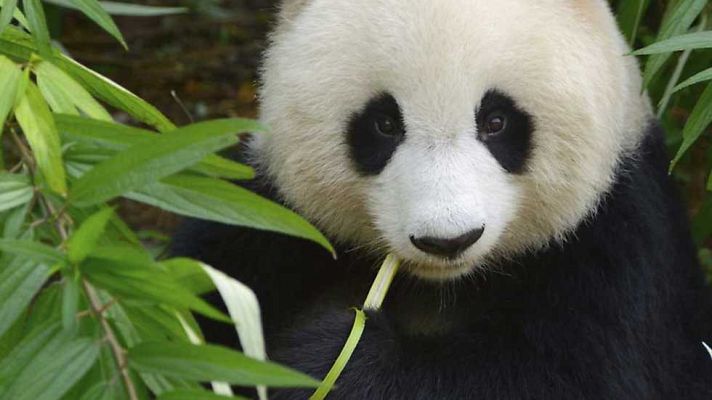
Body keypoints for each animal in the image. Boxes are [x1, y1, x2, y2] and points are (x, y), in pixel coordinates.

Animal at [172, 0, 712, 398]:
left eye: (496, 121)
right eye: (384, 123)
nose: (448, 240)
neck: (442, 286)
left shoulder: (619, 246)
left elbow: (566, 377)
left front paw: (332, 356)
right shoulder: (269, 217)